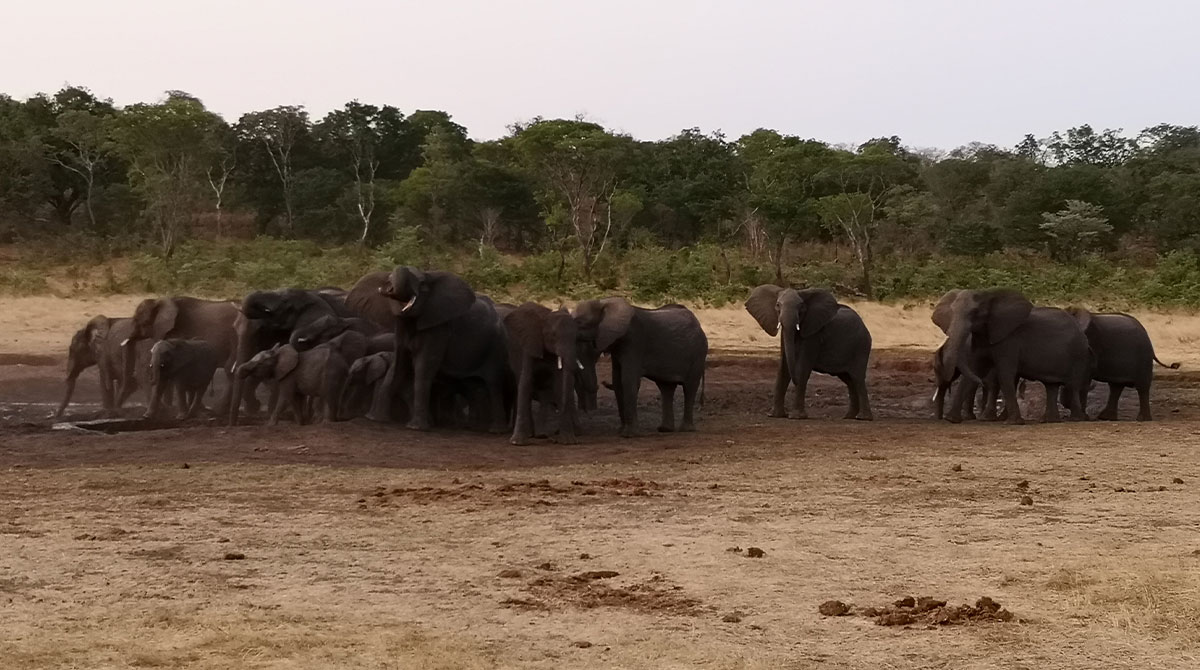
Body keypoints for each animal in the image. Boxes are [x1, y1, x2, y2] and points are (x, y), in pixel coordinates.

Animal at [379, 267, 512, 432]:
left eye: (422, 285)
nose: (387, 285)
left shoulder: (439, 328)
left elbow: (424, 367)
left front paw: (416, 427)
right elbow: (398, 364)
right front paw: (378, 419)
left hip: (497, 346)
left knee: (493, 384)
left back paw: (495, 430)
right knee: (474, 385)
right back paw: (475, 427)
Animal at [500, 302, 580, 446]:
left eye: (576, 338)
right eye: (553, 336)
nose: (555, 436)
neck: (546, 317)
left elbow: (559, 384)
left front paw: (568, 441)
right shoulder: (529, 343)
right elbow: (526, 381)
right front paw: (517, 442)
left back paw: (540, 434)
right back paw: (531, 434)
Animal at [573, 298, 708, 437]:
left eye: (582, 325)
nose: (602, 382)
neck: (604, 303)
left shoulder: (634, 342)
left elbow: (628, 381)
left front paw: (629, 435)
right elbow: (618, 382)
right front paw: (621, 431)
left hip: (698, 354)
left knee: (689, 387)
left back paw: (686, 429)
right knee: (666, 388)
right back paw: (665, 429)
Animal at [745, 286, 873, 421]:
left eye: (801, 306)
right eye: (778, 305)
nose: (794, 382)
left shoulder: (813, 335)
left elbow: (802, 369)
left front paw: (796, 417)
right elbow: (783, 369)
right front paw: (775, 415)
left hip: (861, 346)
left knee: (858, 378)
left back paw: (863, 418)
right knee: (849, 380)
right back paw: (849, 417)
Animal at [934, 288, 1089, 424]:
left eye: (974, 312)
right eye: (952, 311)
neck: (989, 296)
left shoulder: (1009, 341)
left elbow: (1005, 375)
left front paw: (1013, 422)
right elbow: (973, 372)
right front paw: (951, 420)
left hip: (1078, 354)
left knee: (1073, 385)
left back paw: (1076, 419)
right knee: (1051, 385)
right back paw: (1049, 421)